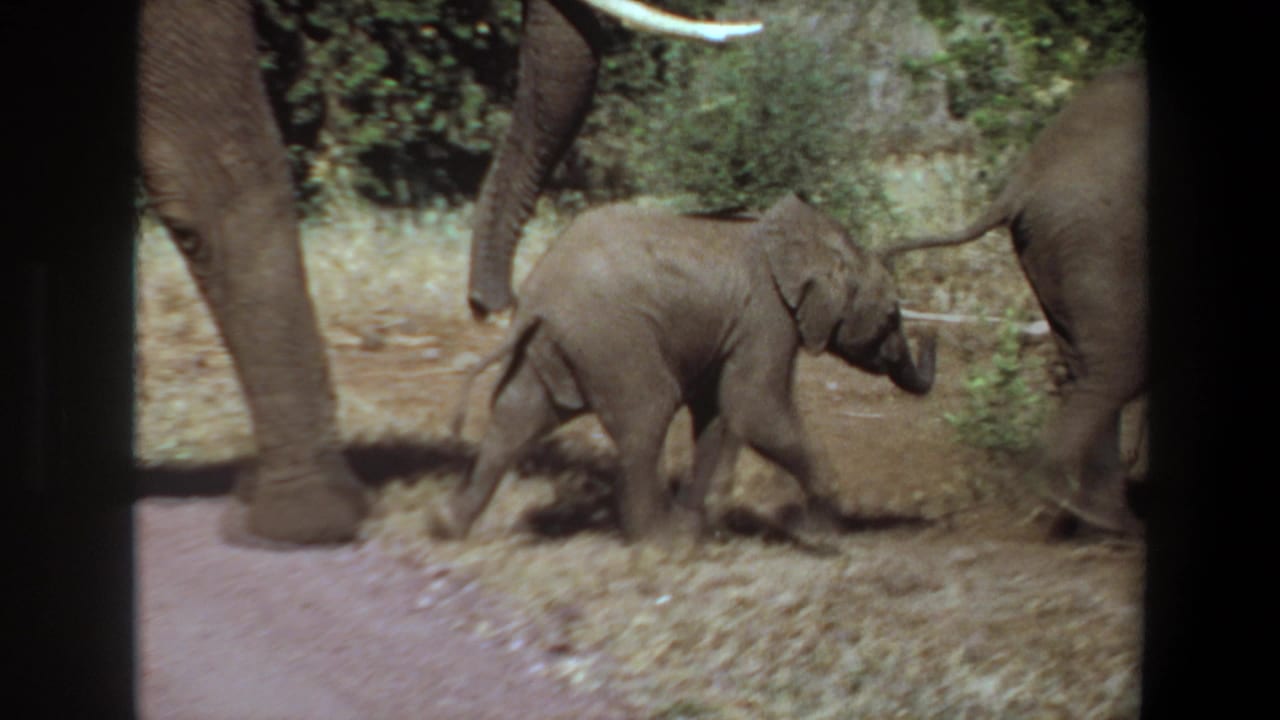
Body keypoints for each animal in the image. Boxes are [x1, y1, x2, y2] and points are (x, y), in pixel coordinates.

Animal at [433, 194, 938, 543]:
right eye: (891, 315)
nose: (928, 335)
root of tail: (534, 297)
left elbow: (718, 412)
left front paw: (704, 524)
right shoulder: (767, 317)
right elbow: (755, 407)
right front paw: (823, 532)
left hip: (555, 345)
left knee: (515, 415)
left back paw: (446, 526)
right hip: (612, 337)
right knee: (648, 412)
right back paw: (664, 541)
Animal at [882, 63, 1147, 534]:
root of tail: (1025, 179)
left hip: (1054, 243)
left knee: (1090, 365)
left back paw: (1097, 515)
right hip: (1100, 237)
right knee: (1118, 366)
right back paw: (1093, 513)